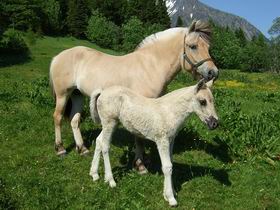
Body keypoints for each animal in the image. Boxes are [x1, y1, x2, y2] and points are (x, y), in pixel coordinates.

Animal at [49, 19, 219, 171]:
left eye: (208, 47)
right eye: (193, 46)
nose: (213, 73)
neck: (151, 66)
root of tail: (58, 57)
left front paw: (144, 160)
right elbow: (139, 137)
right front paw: (140, 165)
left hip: (77, 94)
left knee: (74, 120)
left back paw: (82, 148)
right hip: (63, 94)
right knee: (57, 117)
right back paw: (60, 148)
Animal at [88, 79, 218, 206]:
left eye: (212, 100)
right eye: (202, 101)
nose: (215, 124)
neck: (170, 111)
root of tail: (102, 92)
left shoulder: (171, 140)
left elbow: (170, 163)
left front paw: (169, 193)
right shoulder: (162, 141)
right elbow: (167, 167)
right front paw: (171, 198)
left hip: (109, 124)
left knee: (99, 141)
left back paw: (95, 174)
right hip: (110, 122)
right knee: (105, 146)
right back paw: (110, 180)